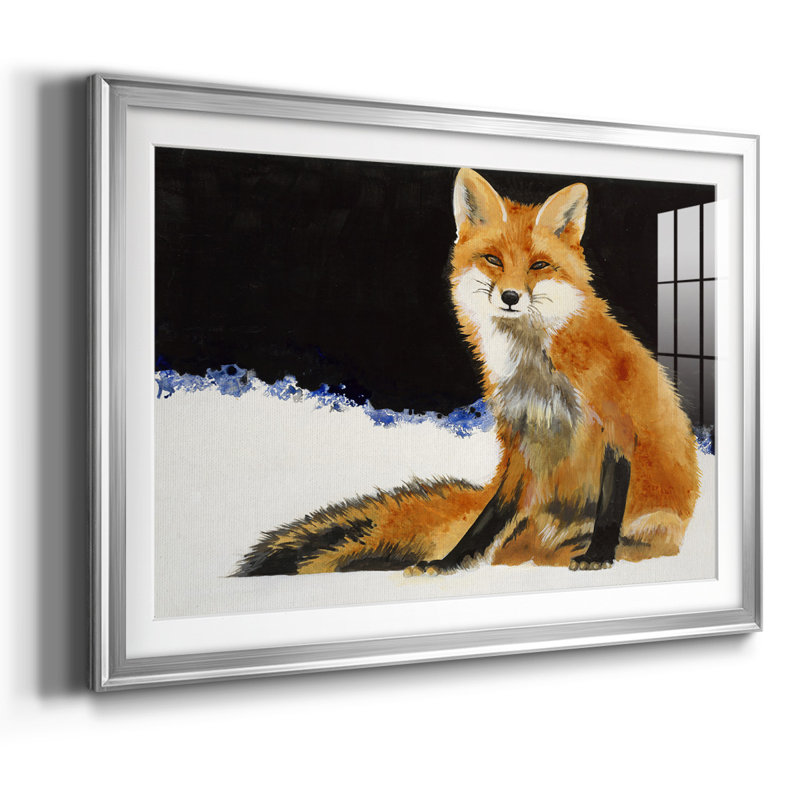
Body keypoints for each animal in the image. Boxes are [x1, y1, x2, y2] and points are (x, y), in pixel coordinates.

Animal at [234, 168, 700, 577]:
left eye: (538, 266)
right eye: (493, 259)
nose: (510, 297)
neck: (537, 371)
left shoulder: (617, 427)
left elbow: (608, 507)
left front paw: (599, 555)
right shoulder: (520, 443)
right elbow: (488, 519)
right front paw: (451, 562)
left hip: (655, 524)